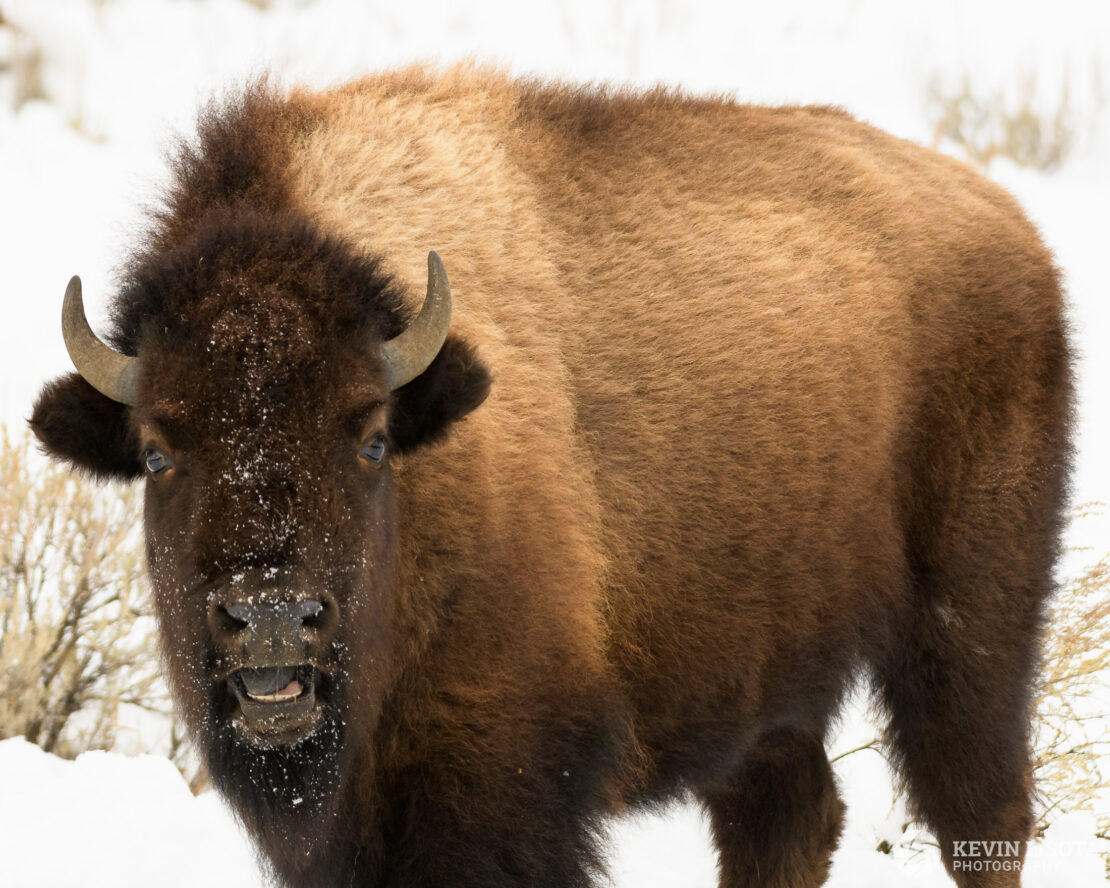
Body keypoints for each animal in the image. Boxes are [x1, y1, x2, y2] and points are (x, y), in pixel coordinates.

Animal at [32, 69, 1074, 888]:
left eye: (370, 437)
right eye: (158, 451)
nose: (274, 618)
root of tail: (1011, 228)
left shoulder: (498, 780)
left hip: (969, 623)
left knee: (979, 813)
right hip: (771, 674)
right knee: (792, 820)